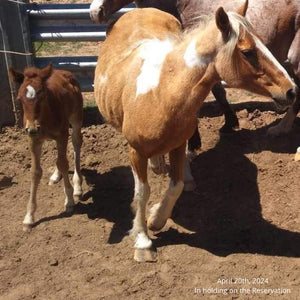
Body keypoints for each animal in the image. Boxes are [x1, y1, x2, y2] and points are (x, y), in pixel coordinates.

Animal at [9, 63, 83, 232]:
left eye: (42, 97)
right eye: (19, 99)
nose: (32, 128)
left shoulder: (62, 134)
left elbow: (63, 163)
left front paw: (69, 200)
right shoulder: (33, 139)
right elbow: (36, 172)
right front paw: (29, 217)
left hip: (75, 119)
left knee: (76, 143)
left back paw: (77, 186)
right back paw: (55, 176)